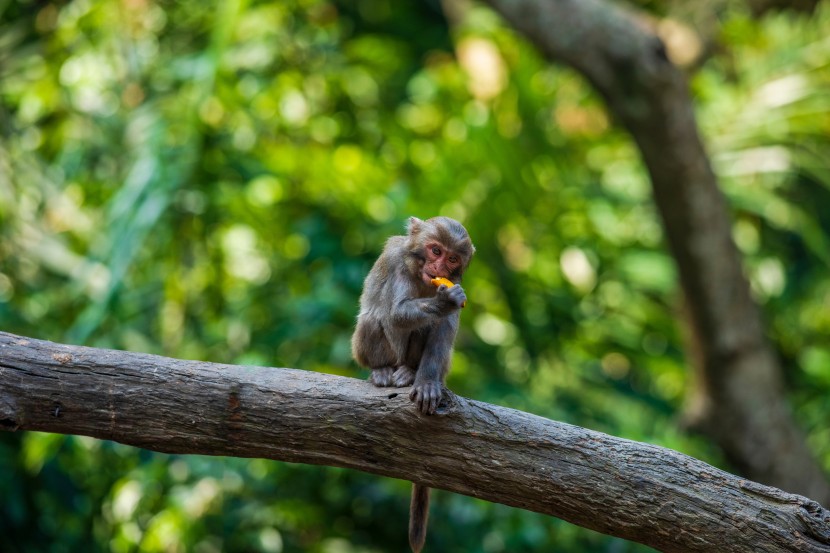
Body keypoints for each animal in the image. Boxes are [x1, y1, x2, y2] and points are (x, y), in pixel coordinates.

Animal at [352, 215, 474, 552]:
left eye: (453, 259)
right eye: (435, 250)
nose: (439, 267)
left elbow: (444, 327)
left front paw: (428, 383)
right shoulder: (397, 262)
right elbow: (396, 313)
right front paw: (443, 301)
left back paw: (409, 373)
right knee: (375, 317)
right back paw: (383, 370)